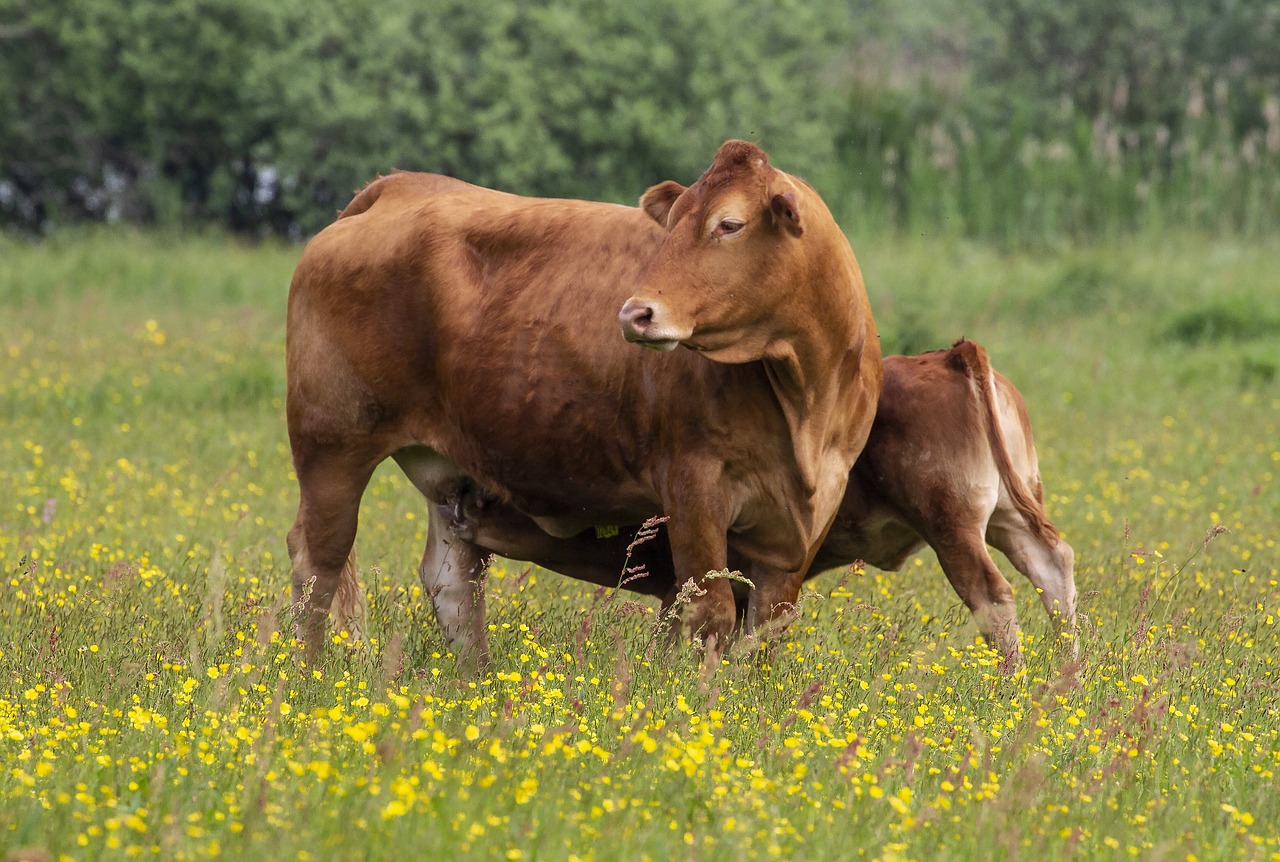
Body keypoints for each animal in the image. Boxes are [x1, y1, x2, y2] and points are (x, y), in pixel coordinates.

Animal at [286, 140, 880, 666]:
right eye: (673, 222)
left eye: (729, 224)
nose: (635, 313)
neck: (805, 400)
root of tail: (398, 186)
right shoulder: (693, 485)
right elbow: (707, 612)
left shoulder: (801, 525)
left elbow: (765, 632)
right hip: (332, 443)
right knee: (318, 561)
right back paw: (309, 674)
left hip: (450, 472)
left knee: (451, 581)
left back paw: (474, 681)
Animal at [427, 340, 1070, 660]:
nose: (458, 503)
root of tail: (949, 356)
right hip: (1009, 517)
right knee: (1053, 570)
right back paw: (1066, 677)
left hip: (953, 526)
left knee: (995, 596)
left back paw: (1012, 683)